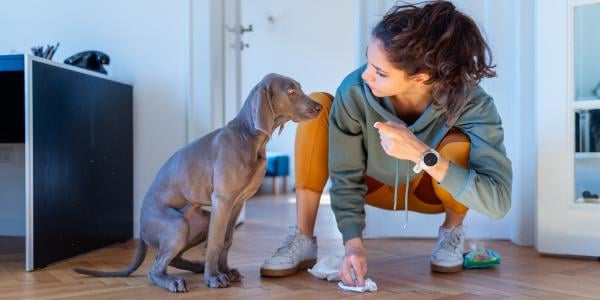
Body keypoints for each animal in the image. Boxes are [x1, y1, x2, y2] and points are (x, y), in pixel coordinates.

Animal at [72, 74, 324, 292]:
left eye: (299, 88)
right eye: (291, 91)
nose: (320, 107)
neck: (250, 138)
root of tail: (142, 230)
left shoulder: (237, 203)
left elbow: (227, 239)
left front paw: (224, 271)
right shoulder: (222, 199)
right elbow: (216, 242)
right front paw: (214, 277)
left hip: (199, 222)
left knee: (169, 258)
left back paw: (195, 267)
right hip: (177, 225)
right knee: (155, 269)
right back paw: (174, 281)